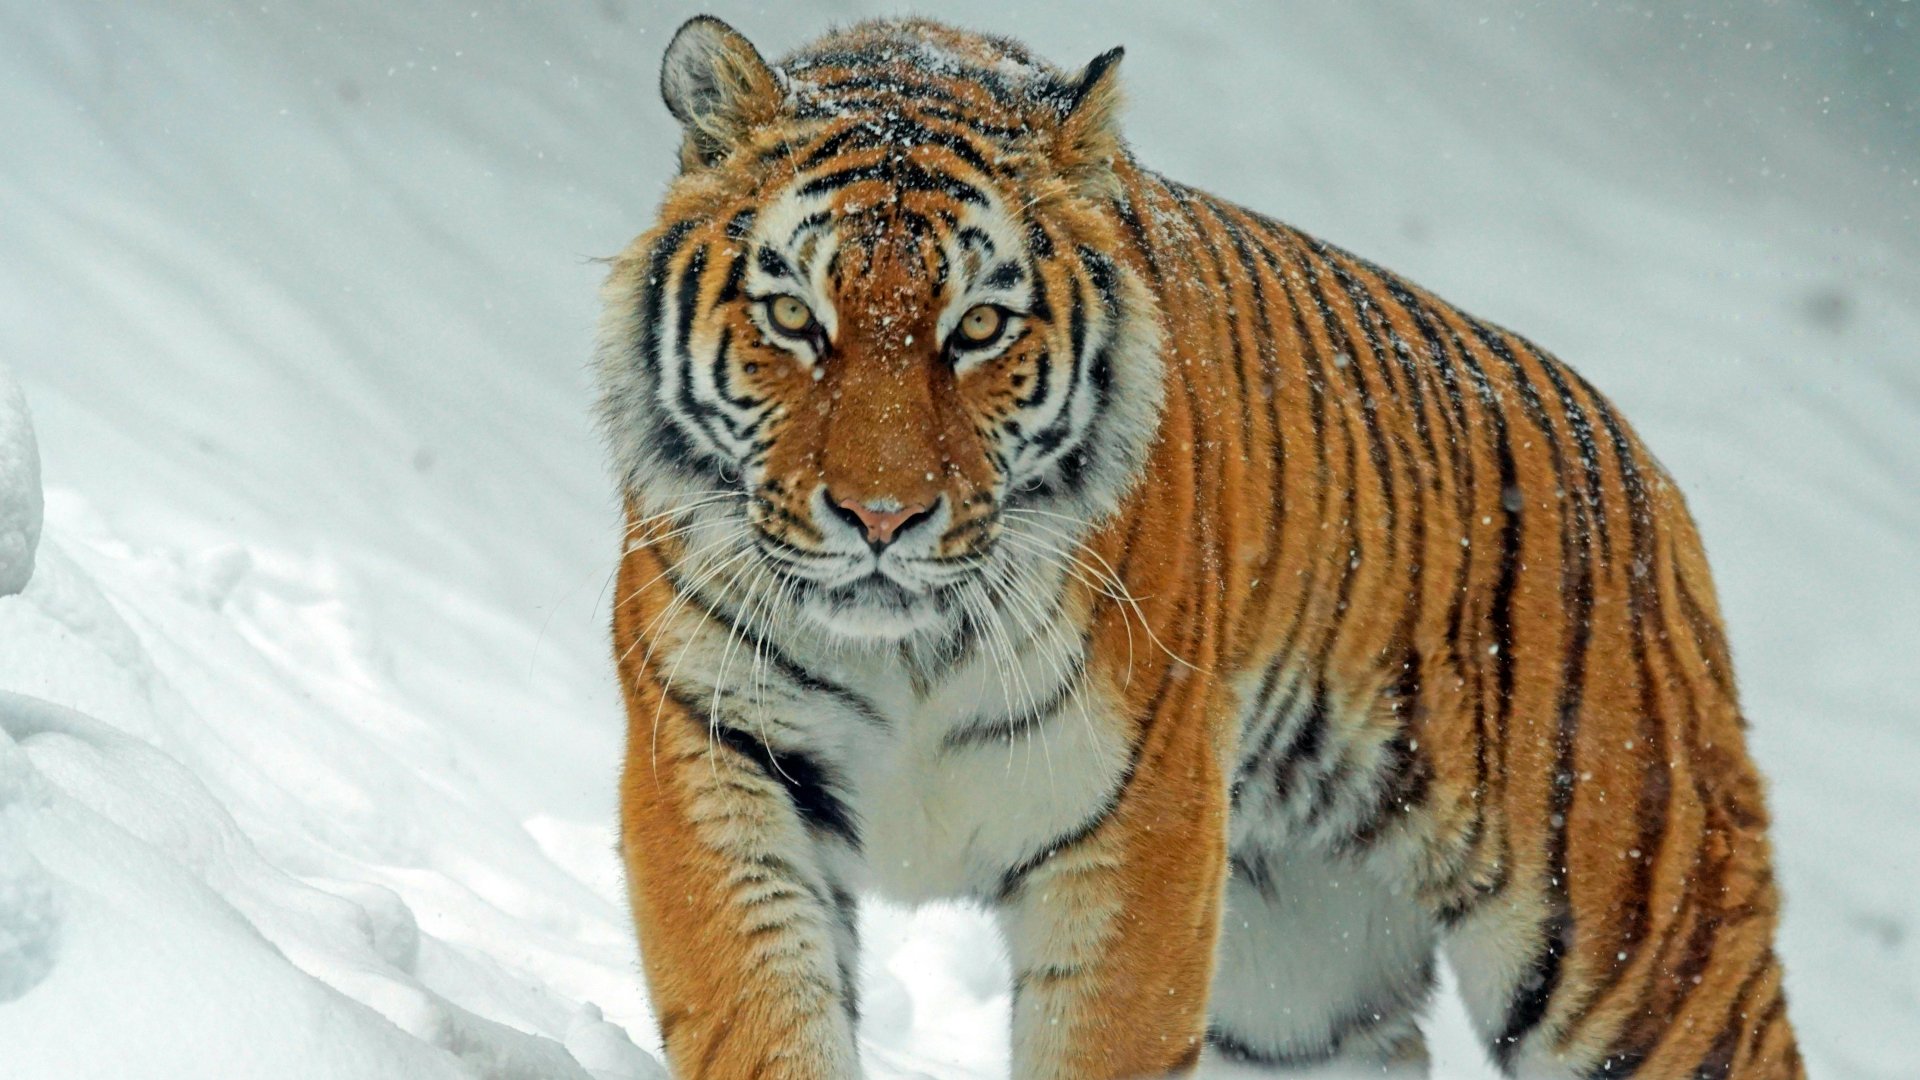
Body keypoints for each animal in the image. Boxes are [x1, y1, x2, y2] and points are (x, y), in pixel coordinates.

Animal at [594, 15, 1801, 1079]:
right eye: (795, 317)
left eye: (978, 328)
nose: (882, 518)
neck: (908, 654)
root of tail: (1650, 479)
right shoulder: (715, 757)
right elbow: (764, 1018)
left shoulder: (1142, 831)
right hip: (1301, 988)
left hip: (1640, 955)